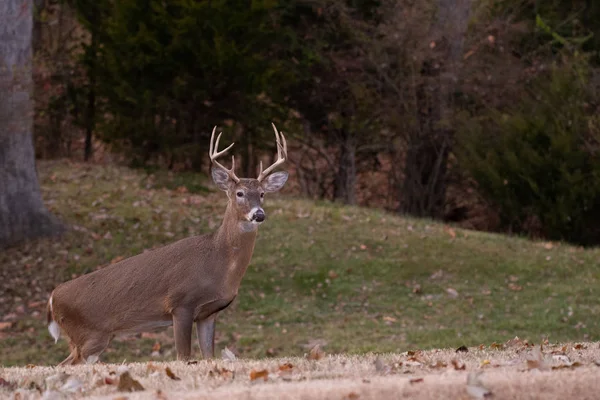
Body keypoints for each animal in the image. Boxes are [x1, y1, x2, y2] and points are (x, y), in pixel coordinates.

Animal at [46, 124, 288, 366]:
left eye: (262, 194)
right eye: (239, 193)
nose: (258, 214)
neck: (219, 264)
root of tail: (52, 298)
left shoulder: (209, 313)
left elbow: (208, 356)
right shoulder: (180, 303)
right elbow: (183, 356)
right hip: (89, 336)